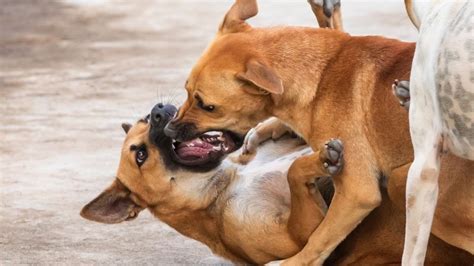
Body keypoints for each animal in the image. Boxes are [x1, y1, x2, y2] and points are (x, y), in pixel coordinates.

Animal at [79, 103, 472, 264]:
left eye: (147, 120)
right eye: (140, 156)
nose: (158, 109)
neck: (224, 180)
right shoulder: (304, 234)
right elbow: (297, 175)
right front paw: (320, 160)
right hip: (405, 180)